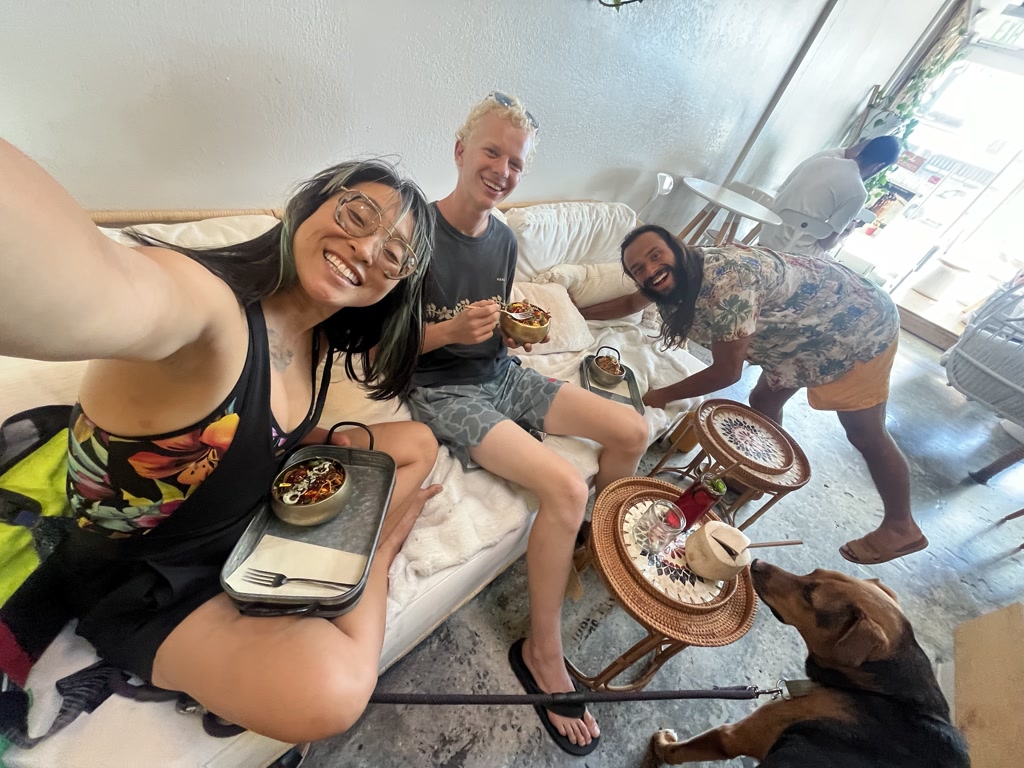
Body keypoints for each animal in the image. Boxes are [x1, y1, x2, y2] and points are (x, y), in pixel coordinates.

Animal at [647, 561, 966, 768]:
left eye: (808, 595)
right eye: (814, 572)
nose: (756, 562)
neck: (880, 690)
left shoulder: (735, 736)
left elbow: (678, 751)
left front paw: (662, 745)